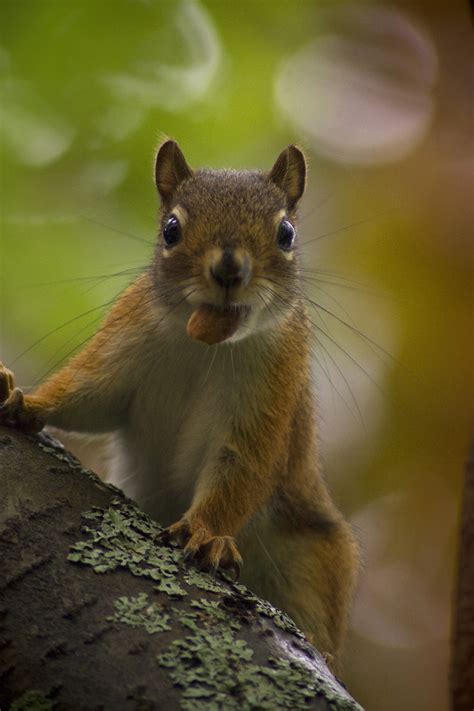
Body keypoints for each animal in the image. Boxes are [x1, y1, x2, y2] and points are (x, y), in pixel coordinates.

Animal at [0, 139, 358, 672]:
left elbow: (243, 466)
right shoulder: (126, 340)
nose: (228, 269)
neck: (205, 345)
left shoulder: (274, 385)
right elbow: (86, 394)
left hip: (315, 556)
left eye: (286, 233)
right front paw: (22, 399)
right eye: (171, 228)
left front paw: (206, 533)